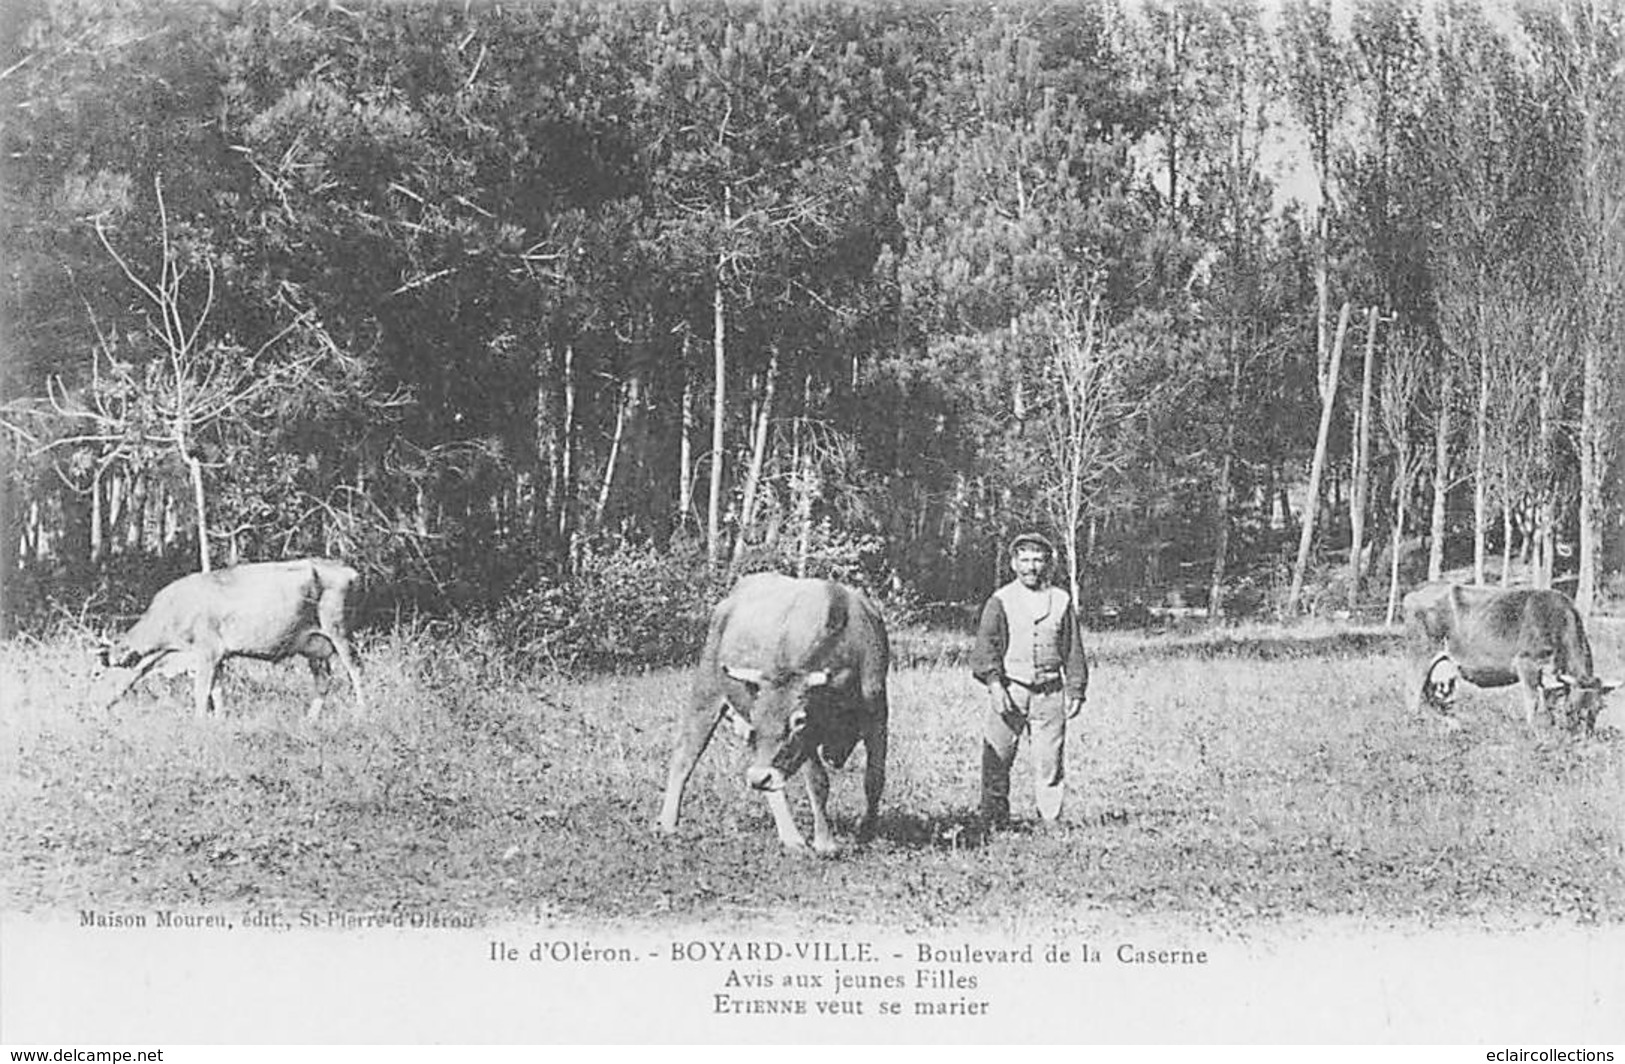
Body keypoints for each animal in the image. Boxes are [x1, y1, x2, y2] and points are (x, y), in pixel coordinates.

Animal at [101, 558, 368, 724]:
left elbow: (201, 691)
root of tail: (349, 570)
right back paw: (310, 720)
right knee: (323, 681)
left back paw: (361, 713)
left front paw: (199, 721)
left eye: (99, 674)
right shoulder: (219, 657)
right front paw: (220, 720)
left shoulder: (207, 652)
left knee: (356, 670)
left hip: (340, 632)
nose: (97, 704)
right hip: (314, 646)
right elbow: (217, 690)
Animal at [653, 575, 897, 857]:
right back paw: (668, 823)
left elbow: (875, 778)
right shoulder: (808, 742)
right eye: (757, 718)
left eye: (798, 720)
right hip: (706, 692)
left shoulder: (877, 718)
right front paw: (825, 842)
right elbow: (818, 783)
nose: (758, 777)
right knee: (685, 755)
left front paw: (866, 831)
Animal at [1397, 581, 1612, 734]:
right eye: (1571, 708)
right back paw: (1416, 723)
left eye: (1598, 708)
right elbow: (1532, 699)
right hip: (1420, 651)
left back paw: (1449, 724)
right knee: (1413, 689)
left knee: (1431, 694)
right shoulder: (1527, 663)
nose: (1582, 738)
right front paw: (1533, 730)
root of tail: (1414, 593)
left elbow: (1549, 700)